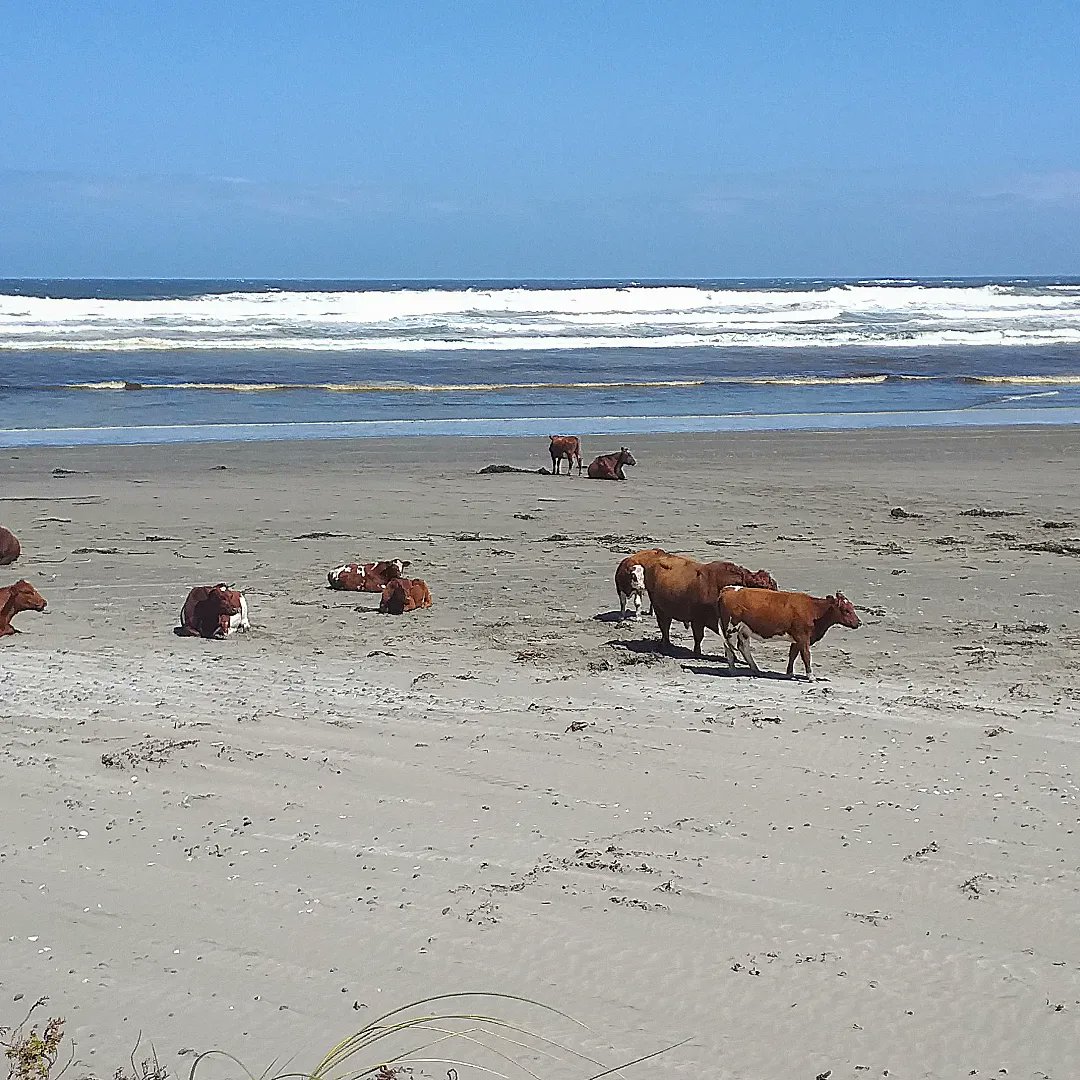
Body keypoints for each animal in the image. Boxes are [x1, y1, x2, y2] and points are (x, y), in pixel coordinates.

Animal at [644, 554, 780, 657]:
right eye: (763, 587)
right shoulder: (698, 620)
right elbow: (699, 637)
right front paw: (697, 653)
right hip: (660, 610)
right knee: (664, 627)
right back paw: (666, 646)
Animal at [719, 586, 861, 678]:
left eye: (852, 608)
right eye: (846, 610)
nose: (859, 623)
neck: (814, 610)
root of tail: (728, 589)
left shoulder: (797, 638)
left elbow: (793, 654)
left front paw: (789, 673)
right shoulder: (803, 636)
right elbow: (806, 656)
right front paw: (811, 676)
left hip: (743, 630)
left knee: (742, 647)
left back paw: (755, 669)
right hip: (730, 628)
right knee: (729, 647)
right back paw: (733, 670)